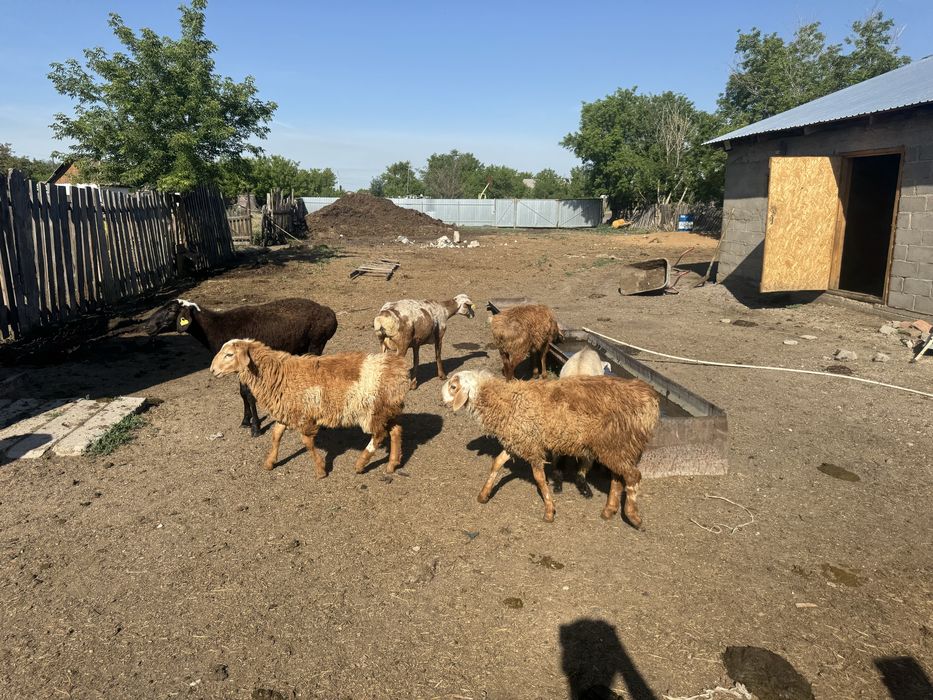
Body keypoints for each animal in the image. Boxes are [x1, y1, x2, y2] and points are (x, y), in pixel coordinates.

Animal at [147, 298, 337, 436]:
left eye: (172, 311)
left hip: (316, 342)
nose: (148, 326)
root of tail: (329, 313)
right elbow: (242, 393)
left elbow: (250, 394)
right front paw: (245, 421)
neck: (215, 328)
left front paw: (256, 428)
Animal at [210, 339, 410, 476]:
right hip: (388, 408)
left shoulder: (304, 416)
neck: (279, 374)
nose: (212, 370)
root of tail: (398, 368)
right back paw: (392, 464)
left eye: (229, 355)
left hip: (374, 411)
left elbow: (306, 442)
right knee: (396, 431)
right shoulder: (288, 411)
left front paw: (321, 470)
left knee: (379, 435)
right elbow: (276, 435)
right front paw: (269, 462)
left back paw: (360, 464)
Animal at [441, 370, 659, 529]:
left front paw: (549, 510)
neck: (506, 400)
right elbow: (496, 464)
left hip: (615, 443)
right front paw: (483, 494)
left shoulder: (531, 446)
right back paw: (609, 510)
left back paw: (633, 516)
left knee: (632, 476)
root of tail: (650, 399)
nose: (441, 398)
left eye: (453, 386)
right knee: (619, 477)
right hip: (618, 446)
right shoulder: (518, 440)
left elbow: (539, 478)